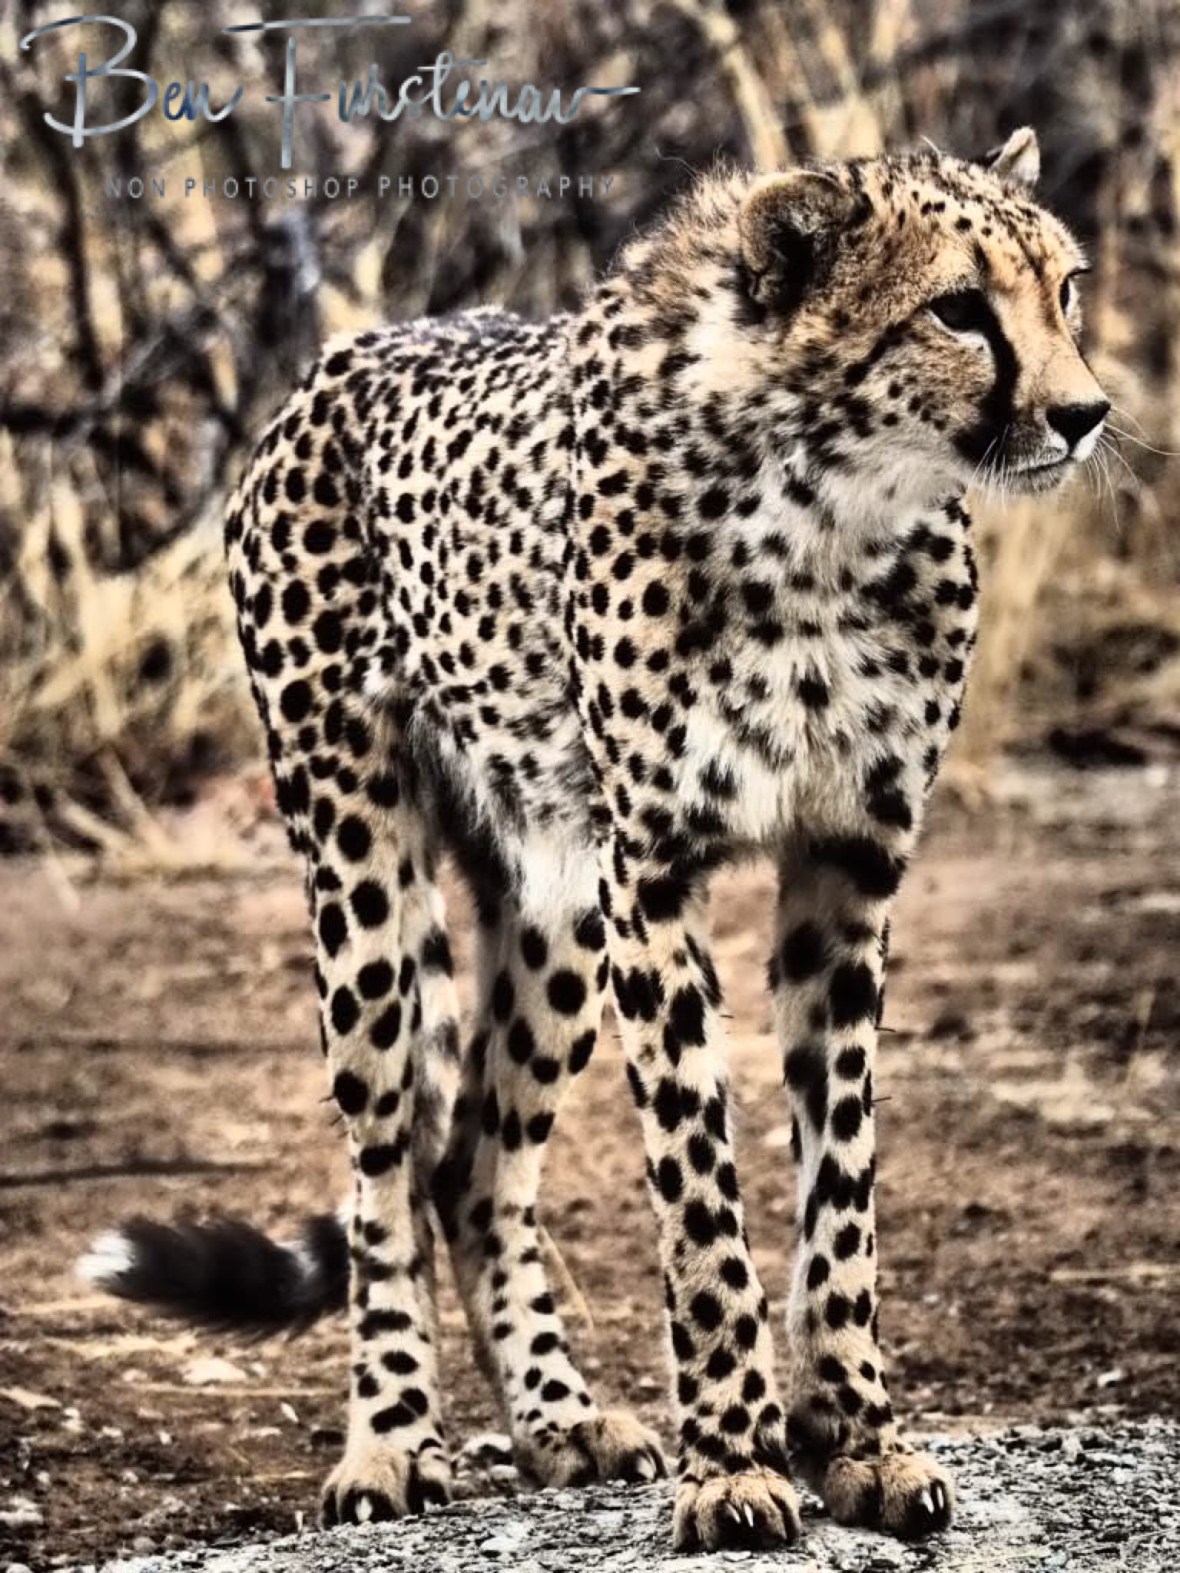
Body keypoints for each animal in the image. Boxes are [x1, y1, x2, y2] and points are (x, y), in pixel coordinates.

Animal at [83, 127, 1109, 1552]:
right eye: (958, 308)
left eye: (1064, 289)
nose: (1085, 413)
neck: (833, 507)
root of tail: (342, 357)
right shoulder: (658, 876)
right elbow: (699, 1196)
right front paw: (733, 1461)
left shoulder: (849, 865)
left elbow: (838, 1190)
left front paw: (856, 1441)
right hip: (363, 866)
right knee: (388, 1166)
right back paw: (391, 1438)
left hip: (559, 895)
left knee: (476, 1166)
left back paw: (558, 1419)